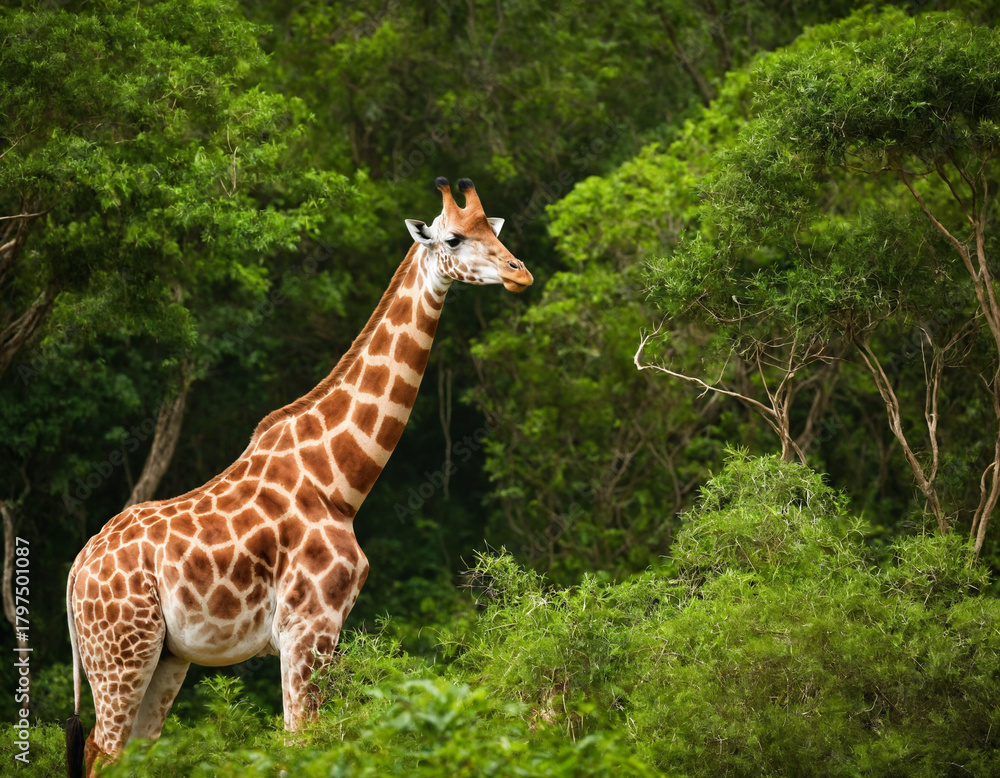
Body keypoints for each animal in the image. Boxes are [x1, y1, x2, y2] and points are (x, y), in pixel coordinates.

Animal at [64, 177, 532, 777]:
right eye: (453, 238)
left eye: (491, 230)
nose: (520, 272)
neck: (340, 483)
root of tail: (75, 573)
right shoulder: (308, 627)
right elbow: (300, 745)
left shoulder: (322, 631)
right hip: (120, 651)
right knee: (102, 750)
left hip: (165, 657)